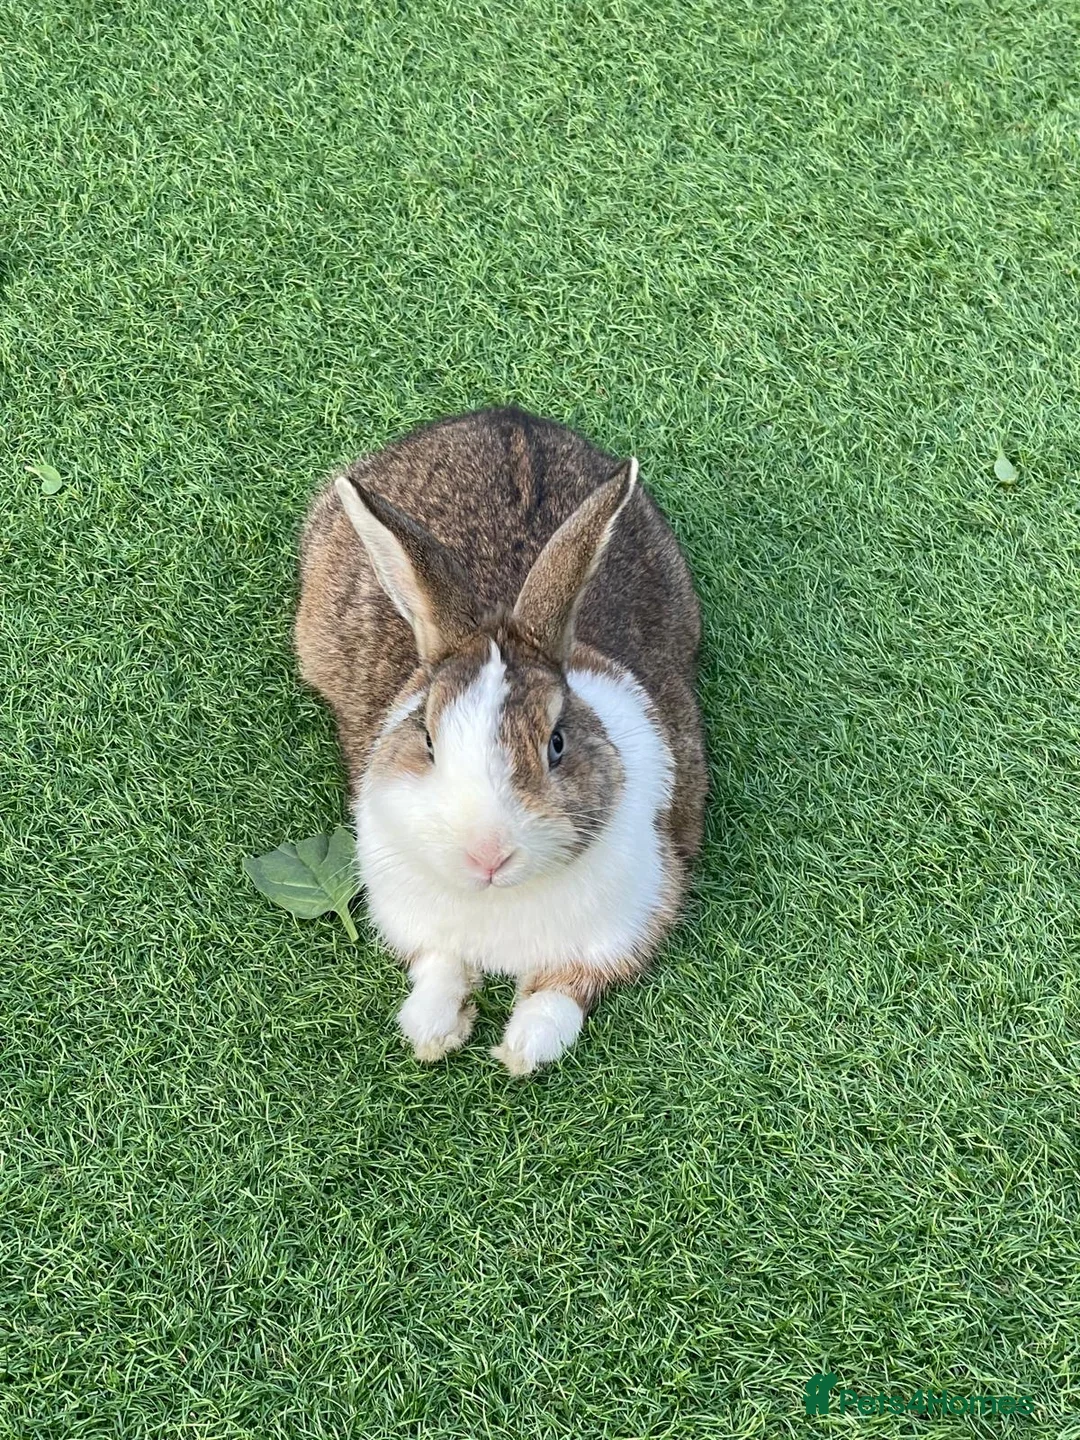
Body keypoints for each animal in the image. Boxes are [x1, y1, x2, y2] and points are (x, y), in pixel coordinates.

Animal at [294, 408, 707, 1074]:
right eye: (428, 740)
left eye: (556, 744)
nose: (486, 855)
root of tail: (505, 418)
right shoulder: (416, 920)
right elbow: (439, 969)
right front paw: (432, 1032)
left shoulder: (636, 916)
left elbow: (561, 993)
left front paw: (522, 1050)